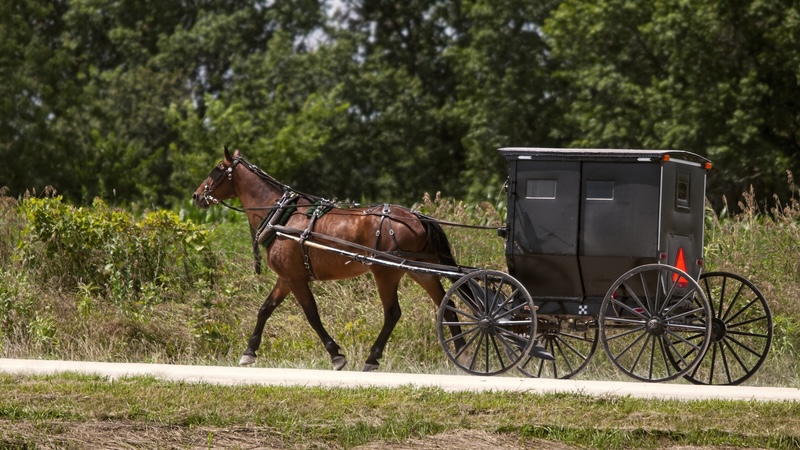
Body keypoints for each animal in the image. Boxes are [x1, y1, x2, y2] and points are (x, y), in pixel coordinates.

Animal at [192, 147, 464, 371]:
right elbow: (265, 309)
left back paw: (372, 358)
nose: (195, 196)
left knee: (392, 313)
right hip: (419, 270)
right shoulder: (286, 278)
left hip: (385, 272)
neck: (282, 215)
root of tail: (417, 217)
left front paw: (336, 356)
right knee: (447, 305)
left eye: (216, 170)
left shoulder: (296, 278)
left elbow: (312, 314)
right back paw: (461, 349)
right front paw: (249, 352)